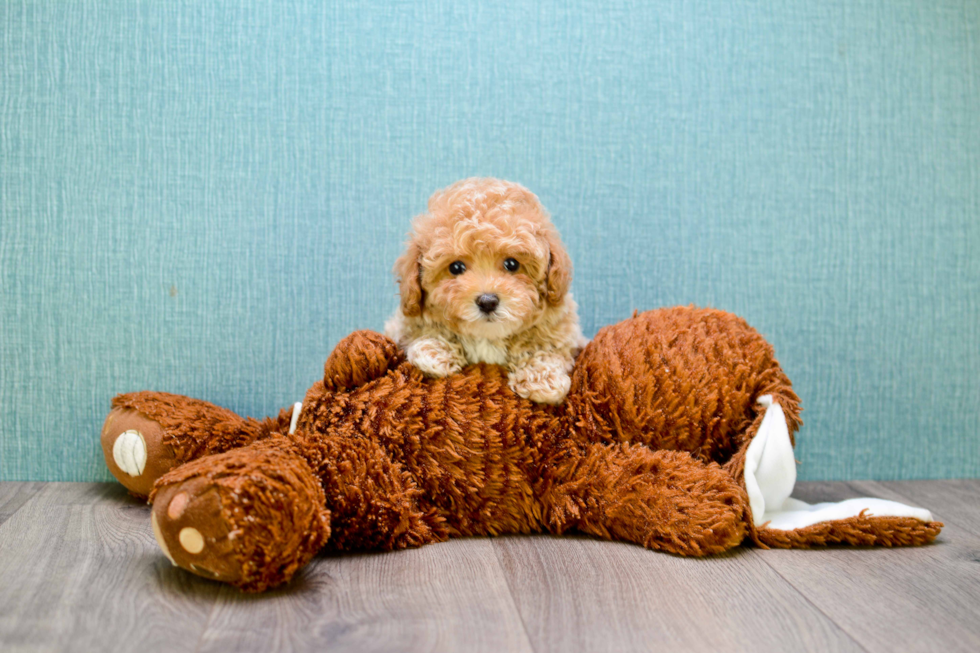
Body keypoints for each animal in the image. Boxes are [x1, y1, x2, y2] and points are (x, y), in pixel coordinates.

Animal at [384, 176, 584, 404]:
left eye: (512, 264)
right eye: (456, 267)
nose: (488, 301)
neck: (488, 336)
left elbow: (543, 346)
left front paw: (541, 378)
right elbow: (428, 330)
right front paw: (434, 352)